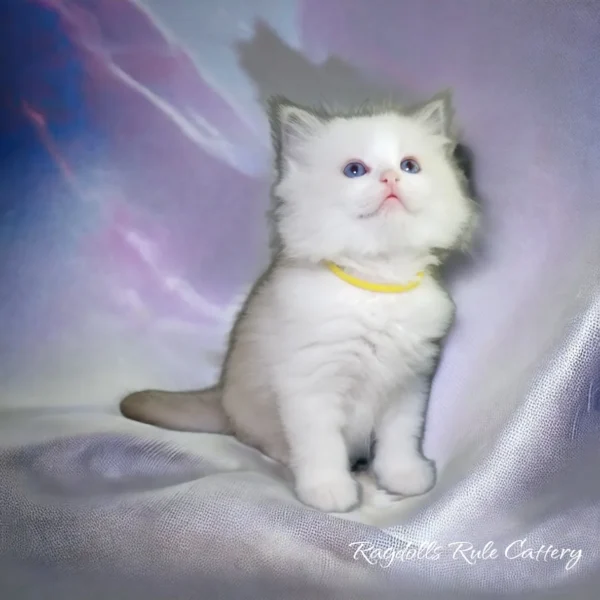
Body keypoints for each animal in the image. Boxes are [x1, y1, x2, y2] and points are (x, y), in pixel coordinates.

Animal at [123, 94, 478, 510]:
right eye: (355, 170)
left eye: (410, 166)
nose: (391, 178)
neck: (376, 284)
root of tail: (221, 397)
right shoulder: (311, 383)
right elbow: (322, 447)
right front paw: (330, 491)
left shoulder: (408, 384)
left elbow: (400, 439)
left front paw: (404, 477)